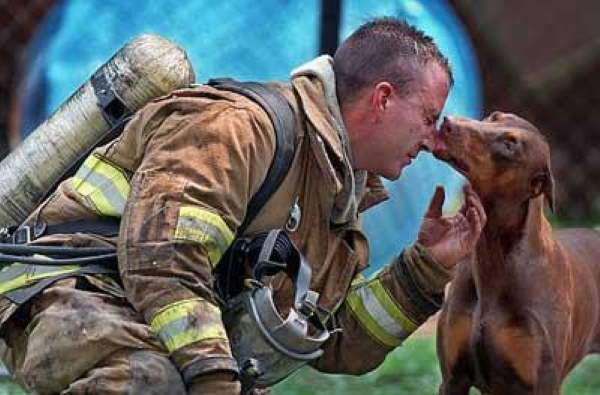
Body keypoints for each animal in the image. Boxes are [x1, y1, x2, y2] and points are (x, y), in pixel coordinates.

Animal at [434, 111, 600, 395]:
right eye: (493, 117)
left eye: (510, 145)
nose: (448, 122)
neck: (493, 254)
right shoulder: (453, 379)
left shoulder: (543, 382)